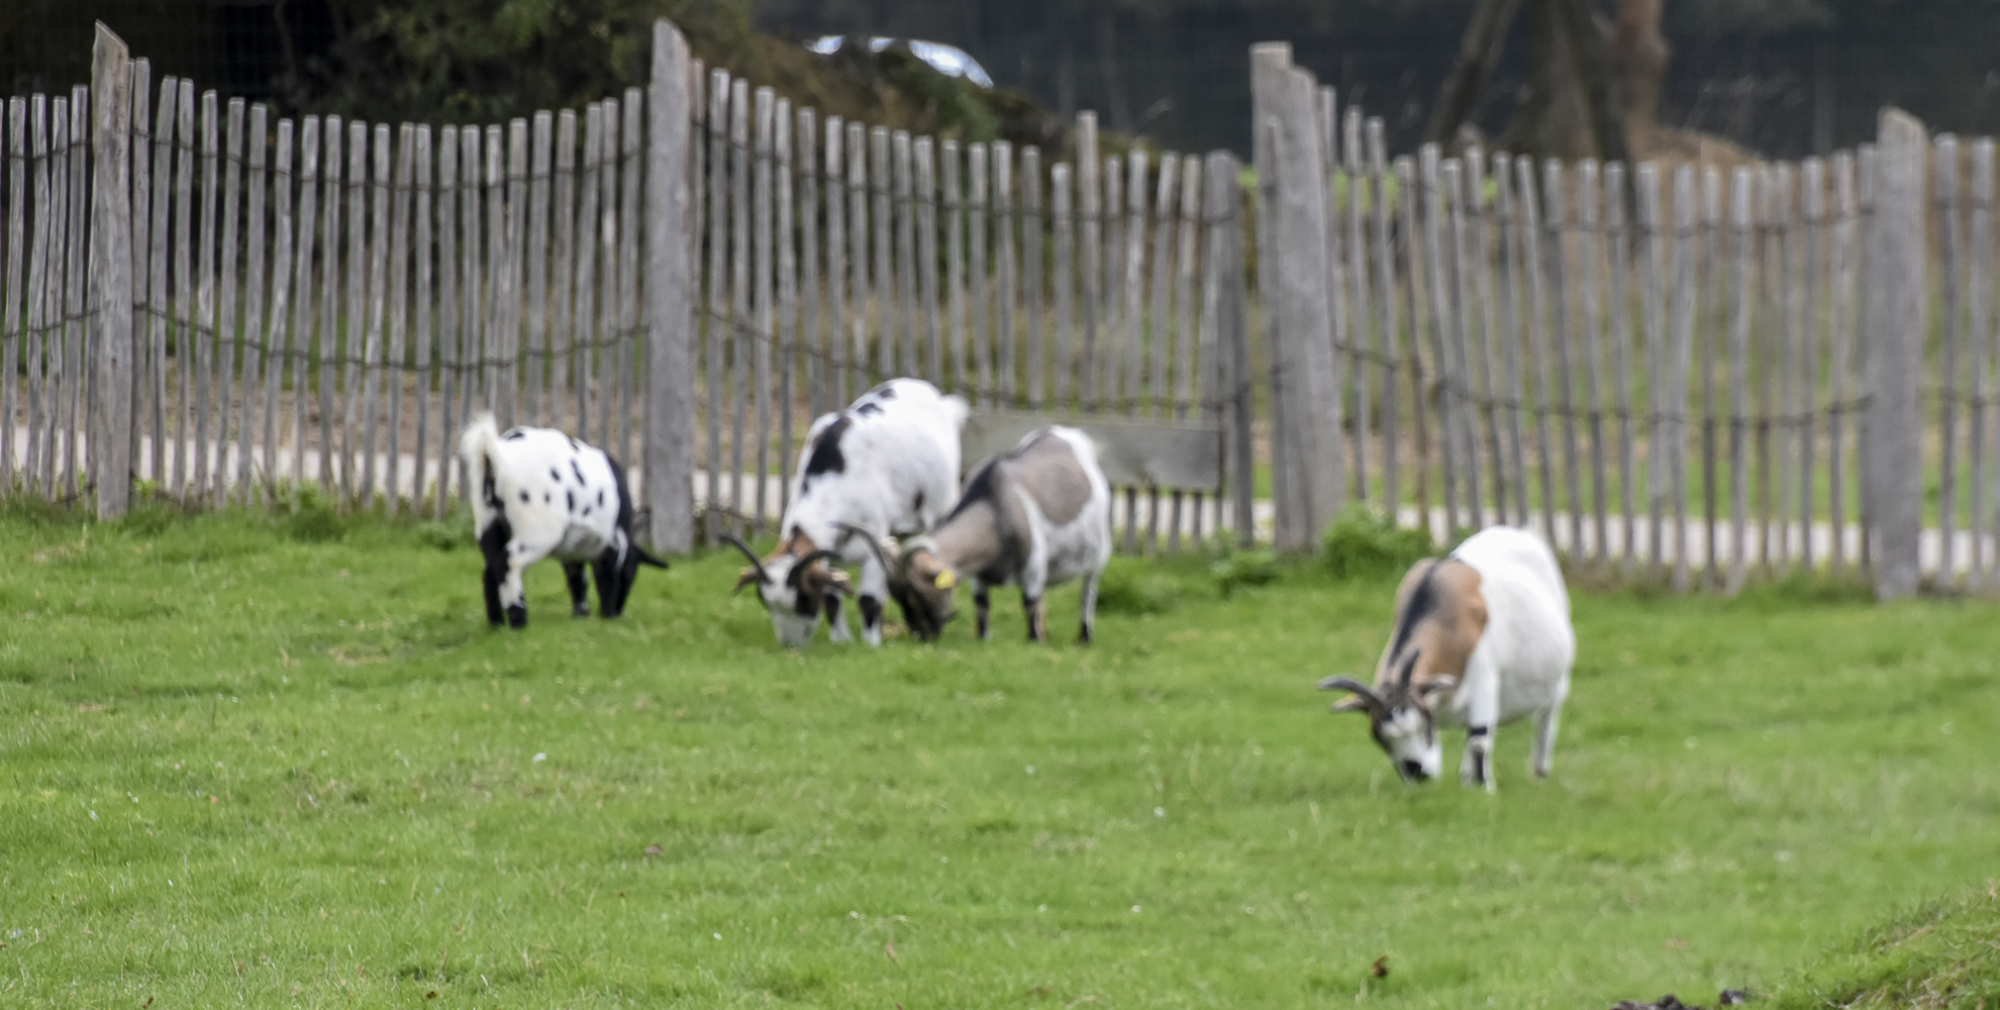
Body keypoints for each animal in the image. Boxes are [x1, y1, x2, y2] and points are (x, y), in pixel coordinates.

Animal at [459, 412, 667, 628]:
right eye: (633, 573)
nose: (618, 612)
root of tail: (497, 453)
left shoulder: (573, 548)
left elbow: (578, 577)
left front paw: (581, 615)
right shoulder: (614, 541)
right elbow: (607, 577)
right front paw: (607, 615)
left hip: (487, 521)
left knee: (490, 570)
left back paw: (497, 624)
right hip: (537, 529)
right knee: (507, 564)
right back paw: (519, 622)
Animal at [723, 378, 967, 647]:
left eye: (805, 599)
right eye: (765, 602)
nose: (790, 646)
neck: (834, 472)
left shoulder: (874, 541)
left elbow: (869, 598)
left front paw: (872, 643)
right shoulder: (832, 549)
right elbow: (832, 598)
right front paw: (841, 641)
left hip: (939, 511)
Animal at [846, 425, 1112, 644]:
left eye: (918, 595)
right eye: (897, 598)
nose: (921, 635)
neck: (995, 505)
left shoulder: (1033, 563)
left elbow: (1029, 602)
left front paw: (1034, 641)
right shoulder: (978, 573)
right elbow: (982, 605)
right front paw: (984, 639)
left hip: (1096, 556)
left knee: (1088, 593)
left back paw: (1084, 637)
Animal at [1317, 525, 1574, 791]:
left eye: (1424, 724)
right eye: (1380, 736)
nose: (1418, 774)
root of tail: (1518, 533)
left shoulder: (1485, 680)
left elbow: (1479, 740)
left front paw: (1487, 790)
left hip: (1558, 681)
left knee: (1547, 713)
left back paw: (1539, 771)